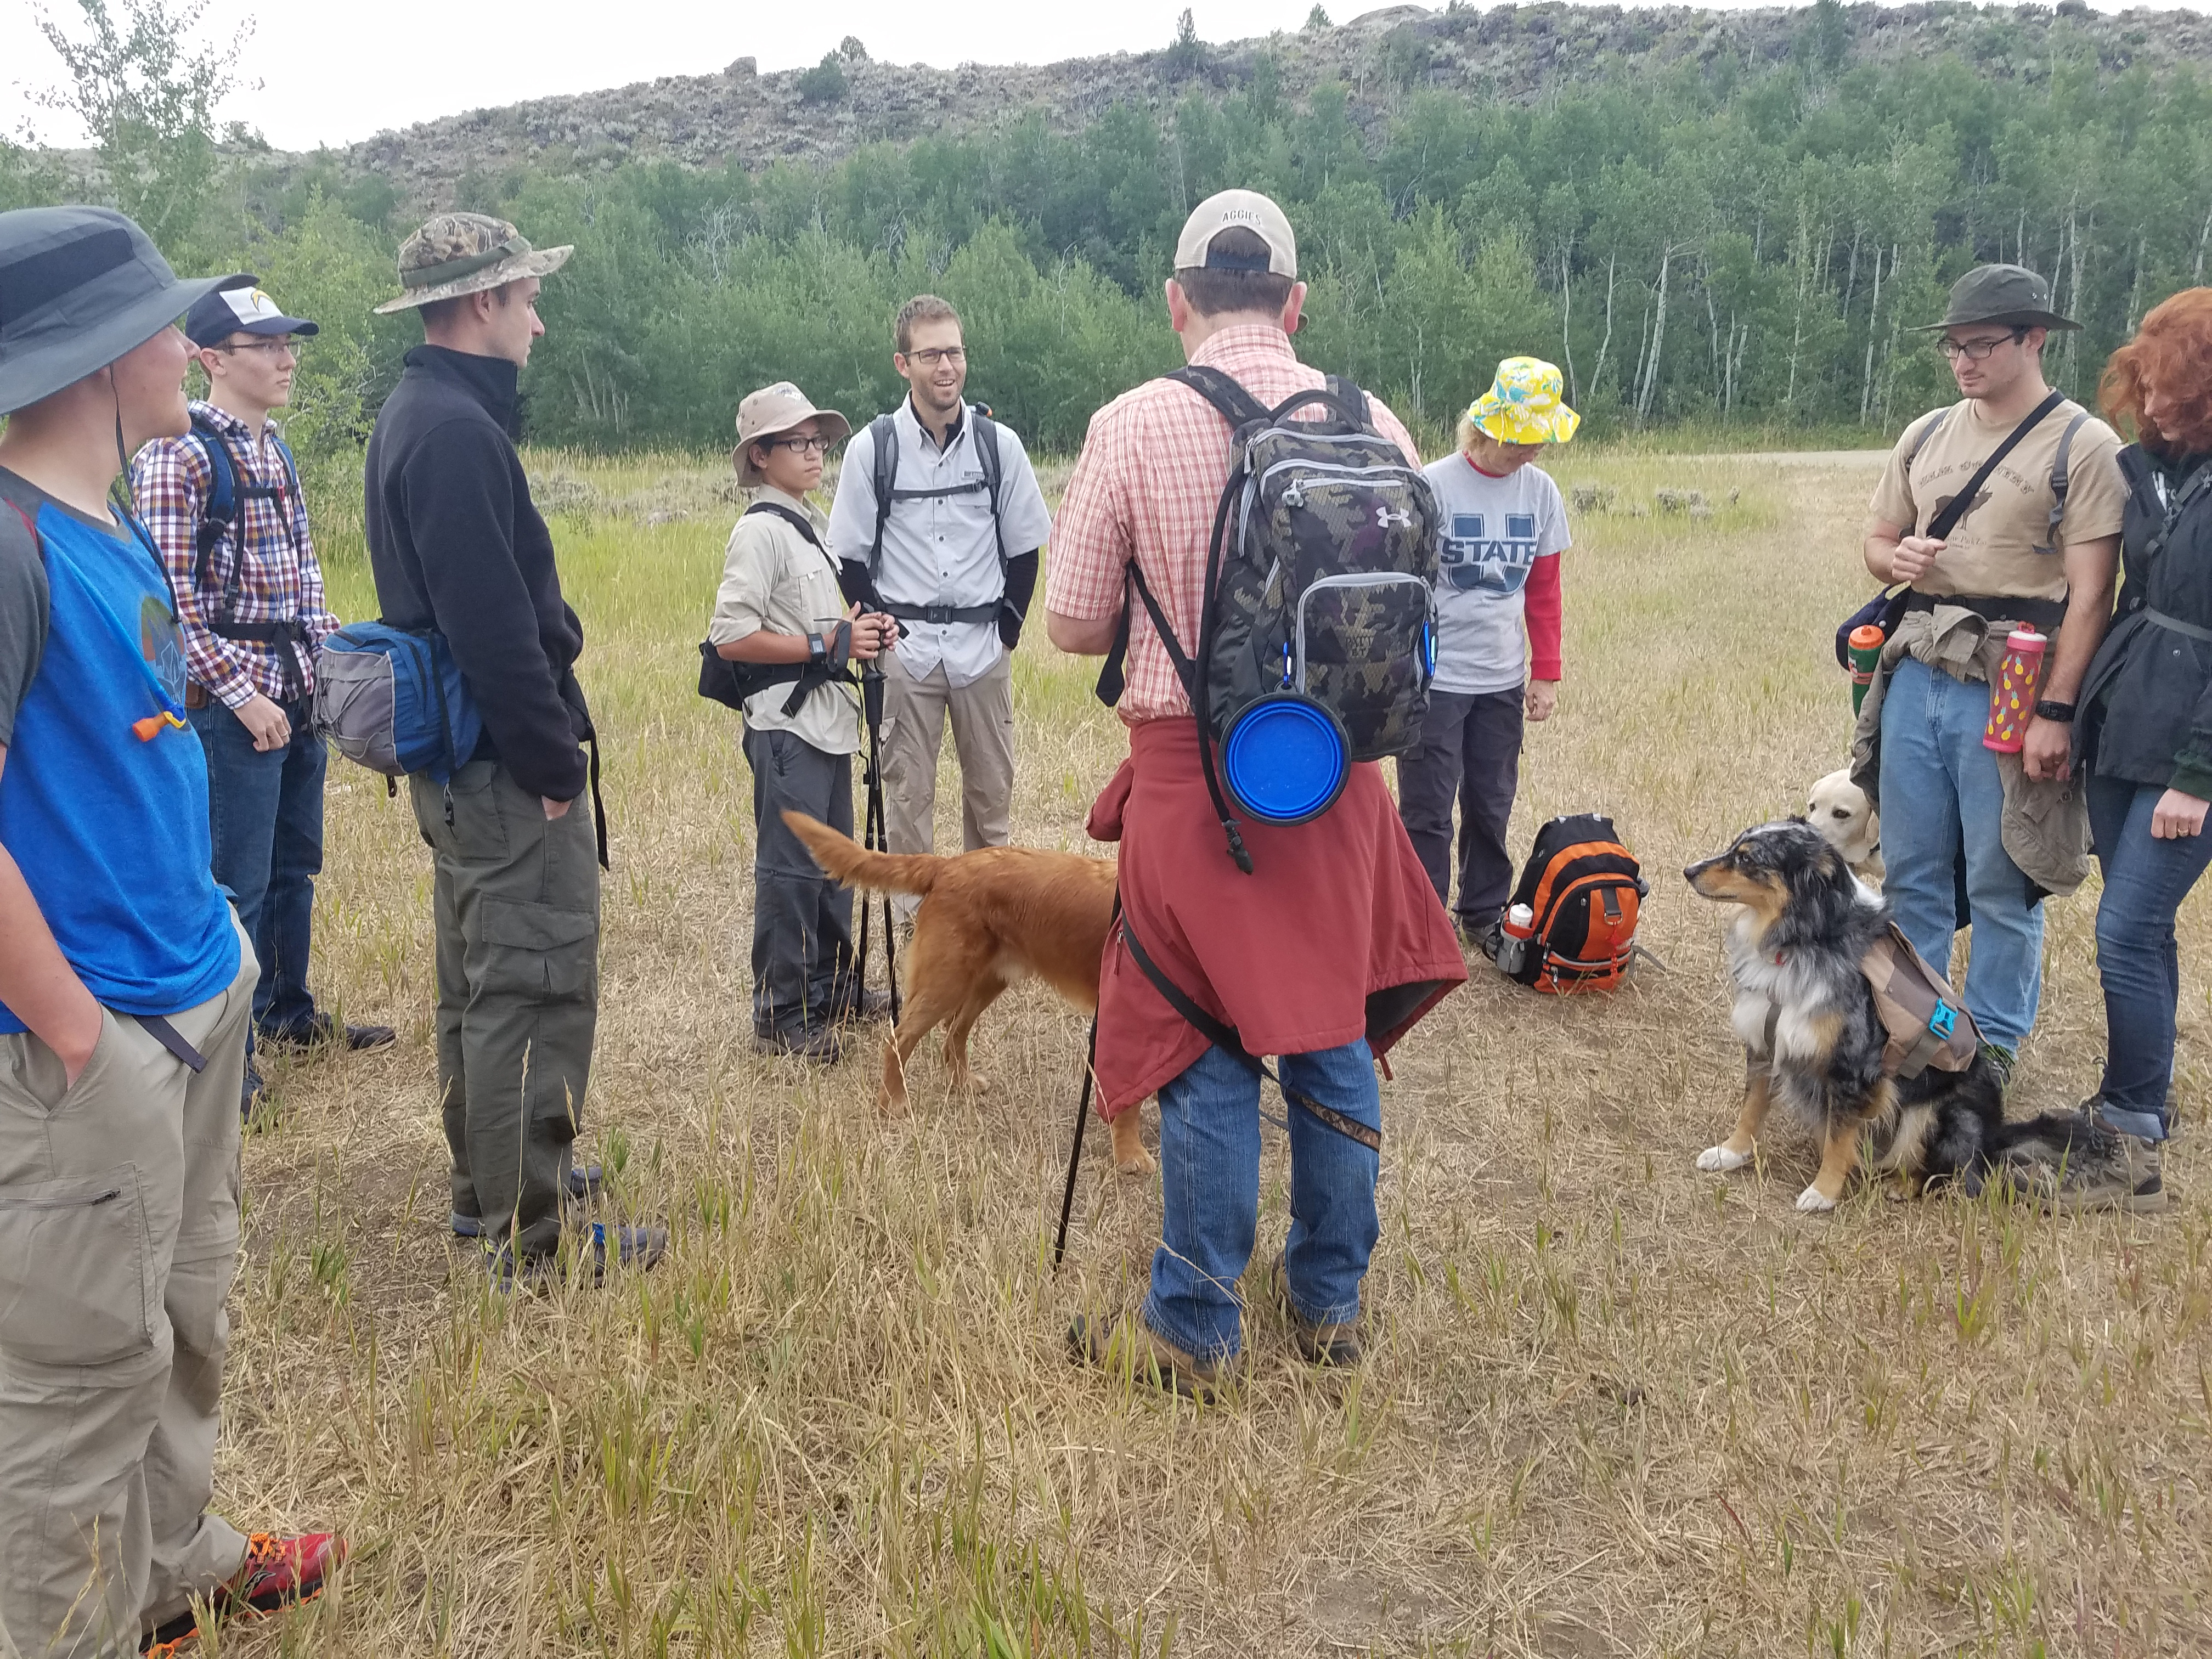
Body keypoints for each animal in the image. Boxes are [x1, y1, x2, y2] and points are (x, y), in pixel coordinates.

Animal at [783, 814, 1159, 1177]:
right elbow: (1130, 1097)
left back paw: (961, 1082)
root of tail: (947, 865)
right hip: (946, 981)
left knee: (954, 1033)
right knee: (899, 1039)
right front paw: (1130, 1154)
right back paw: (894, 1103)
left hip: (984, 981)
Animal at [1672, 827, 2106, 1212]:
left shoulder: (1852, 1067)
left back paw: (1904, 1185)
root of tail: (1997, 1134)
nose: (1689, 871)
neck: (1802, 940)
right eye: (1735, 848)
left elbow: (1839, 1139)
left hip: (1935, 1112)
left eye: (1747, 859)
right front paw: (1731, 1153)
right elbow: (1752, 1107)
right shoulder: (1765, 1041)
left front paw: (1823, 1193)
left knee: (1948, 1171)